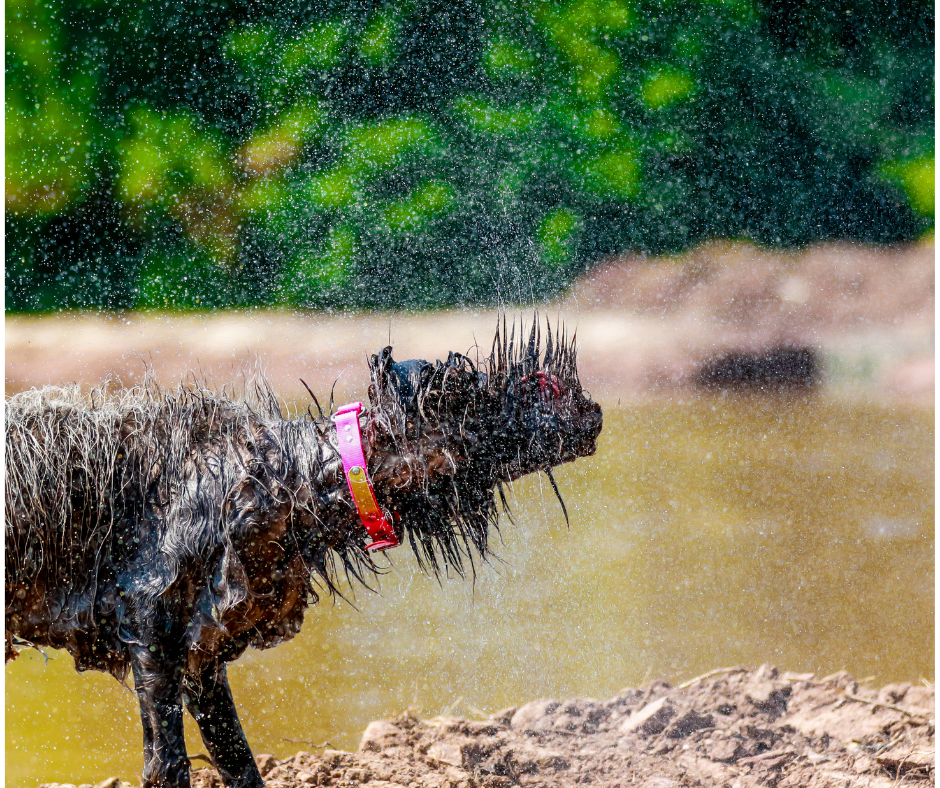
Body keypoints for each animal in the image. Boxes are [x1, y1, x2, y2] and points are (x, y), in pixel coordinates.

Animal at [5, 318, 604, 788]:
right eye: (464, 390)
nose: (591, 410)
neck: (288, 483)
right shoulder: (151, 635)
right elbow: (167, 767)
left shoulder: (202, 657)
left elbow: (239, 763)